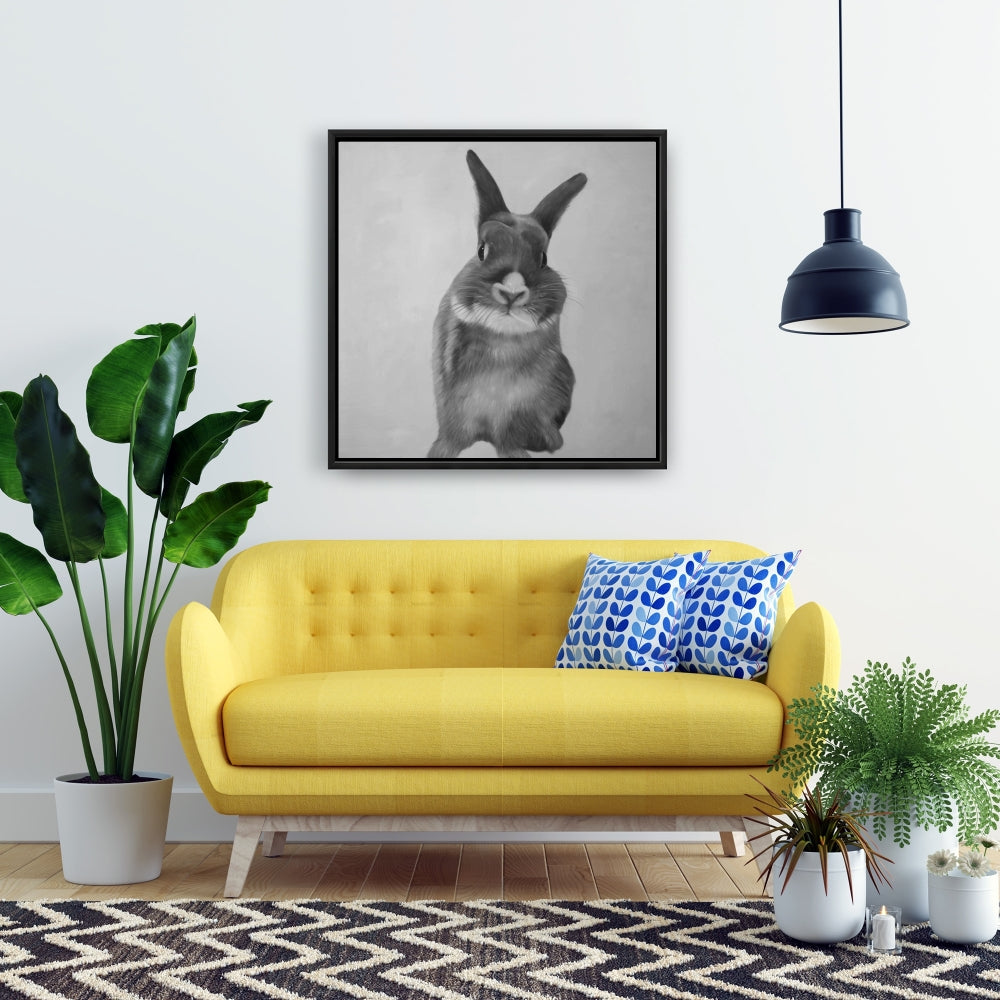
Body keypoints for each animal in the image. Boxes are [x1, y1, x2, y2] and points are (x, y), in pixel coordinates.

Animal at [428, 150, 587, 460]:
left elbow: (509, 441)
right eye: (482, 250)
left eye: (543, 259)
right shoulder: (453, 412)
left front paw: (520, 454)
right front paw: (438, 453)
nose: (512, 292)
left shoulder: (512, 419)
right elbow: (451, 438)